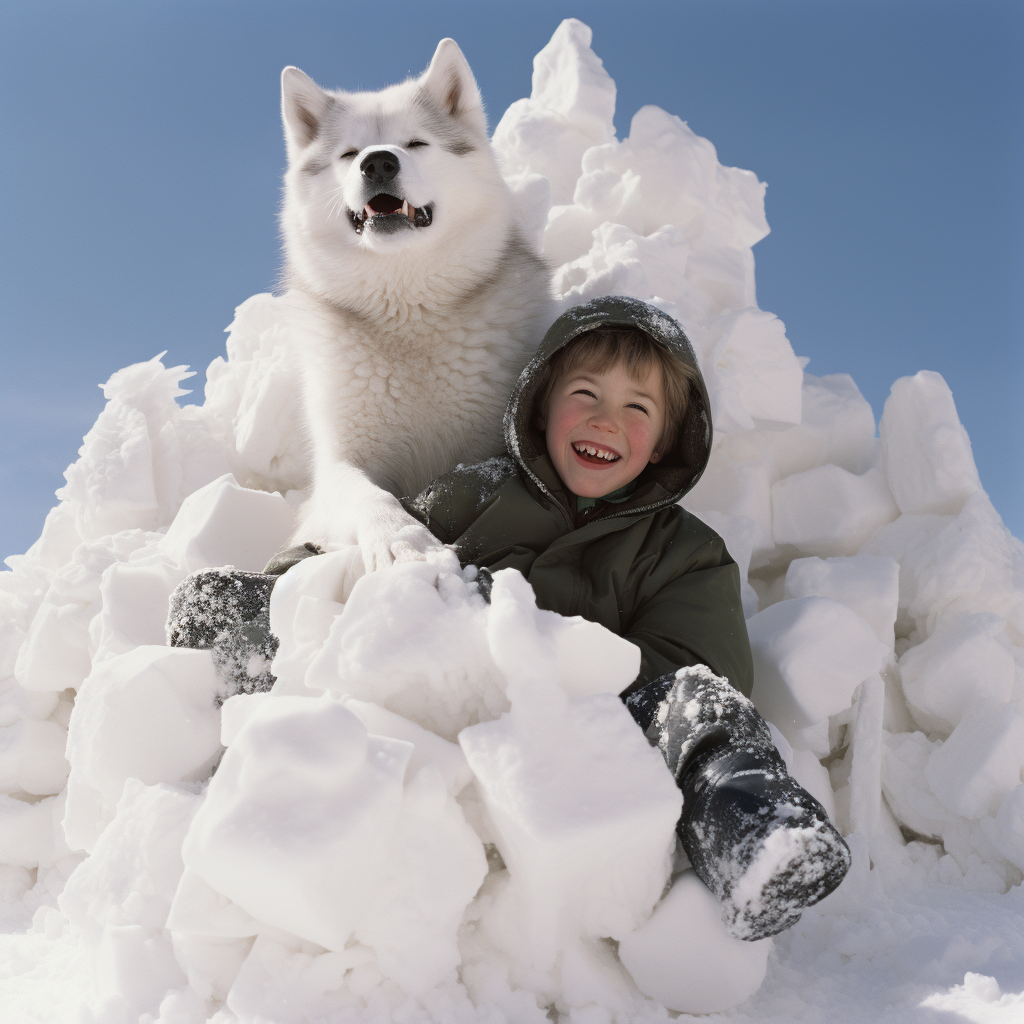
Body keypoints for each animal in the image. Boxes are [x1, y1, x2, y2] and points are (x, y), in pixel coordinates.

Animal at [278, 37, 552, 569]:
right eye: (349, 154)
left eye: (416, 144)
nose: (378, 162)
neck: (409, 315)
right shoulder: (341, 463)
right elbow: (366, 494)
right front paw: (401, 540)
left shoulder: (489, 450)